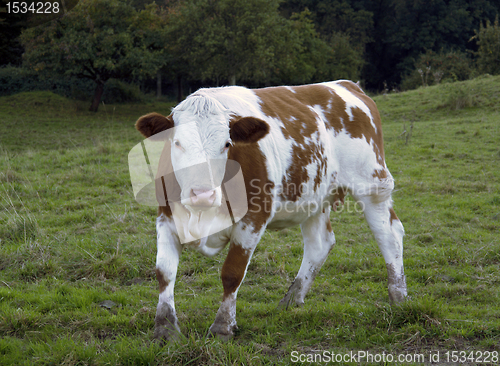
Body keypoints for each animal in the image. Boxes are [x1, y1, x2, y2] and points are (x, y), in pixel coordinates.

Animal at [133, 80, 406, 344]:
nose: (202, 194)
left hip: (373, 185)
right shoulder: (166, 217)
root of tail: (346, 85)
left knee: (390, 235)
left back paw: (398, 297)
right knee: (319, 244)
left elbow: (232, 273)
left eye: (227, 144)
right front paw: (165, 329)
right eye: (176, 143)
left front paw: (222, 327)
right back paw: (291, 299)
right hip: (314, 196)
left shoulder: (253, 218)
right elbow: (164, 271)